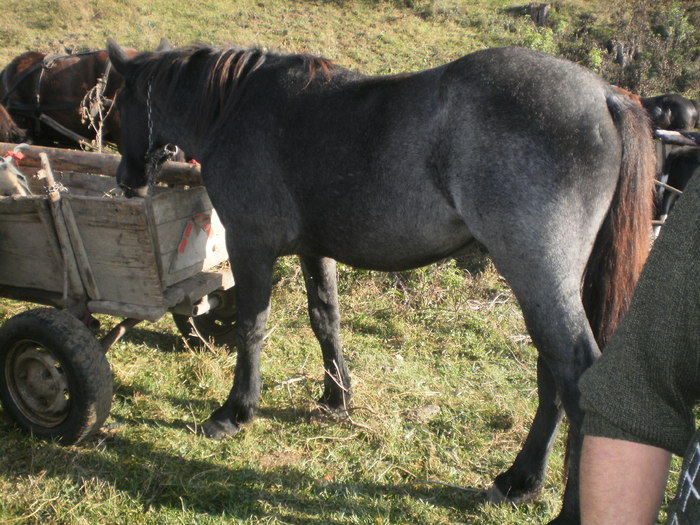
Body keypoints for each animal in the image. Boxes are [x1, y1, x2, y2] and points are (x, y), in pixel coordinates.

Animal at [106, 41, 652, 524]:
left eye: (117, 104)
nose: (126, 180)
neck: (236, 106)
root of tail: (606, 94)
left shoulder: (250, 246)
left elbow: (251, 328)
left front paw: (236, 411)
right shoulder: (314, 249)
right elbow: (325, 319)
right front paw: (336, 399)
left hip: (538, 278)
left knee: (574, 379)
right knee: (552, 375)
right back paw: (519, 482)